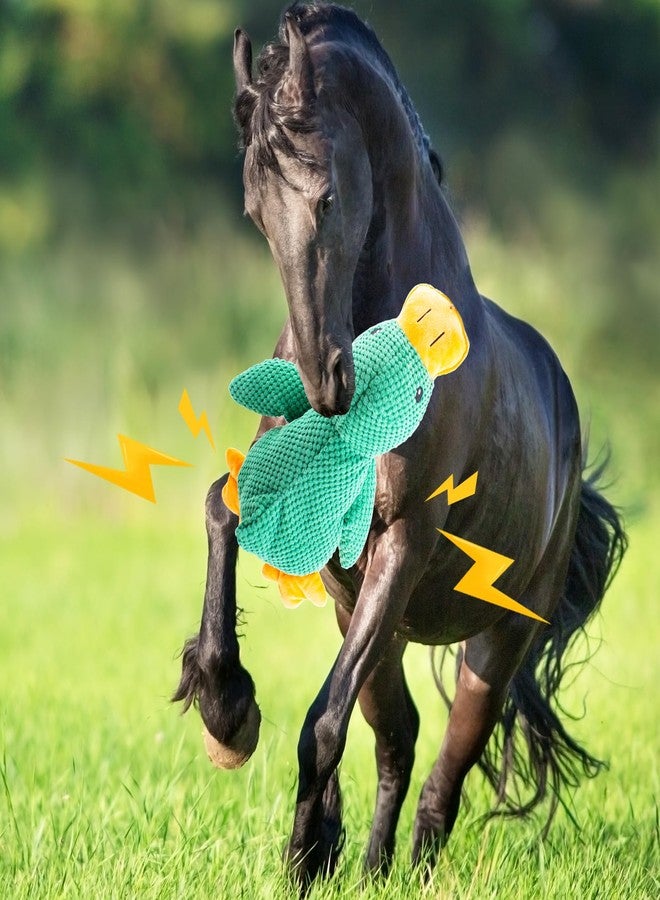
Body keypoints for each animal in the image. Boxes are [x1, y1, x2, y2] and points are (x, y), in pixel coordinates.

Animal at [174, 2, 626, 888]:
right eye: (255, 212)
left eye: (327, 197)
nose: (325, 385)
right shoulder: (316, 530)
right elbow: (220, 504)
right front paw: (226, 713)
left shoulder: (406, 536)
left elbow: (322, 724)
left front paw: (301, 855)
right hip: (362, 616)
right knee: (401, 737)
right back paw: (371, 867)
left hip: (494, 644)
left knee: (444, 774)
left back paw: (404, 871)